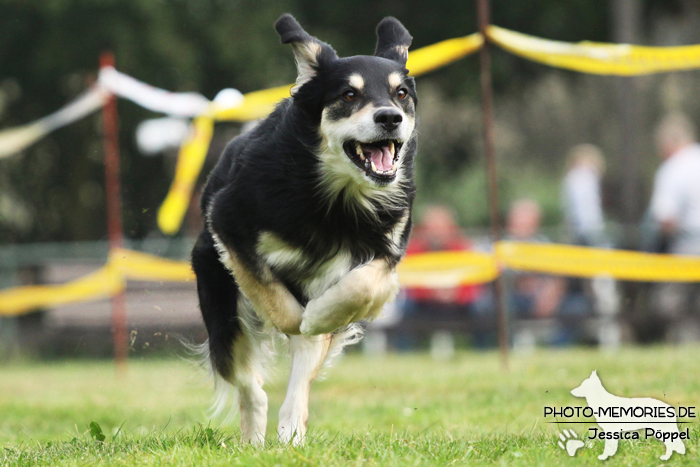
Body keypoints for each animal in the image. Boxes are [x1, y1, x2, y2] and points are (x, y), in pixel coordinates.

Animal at [190, 13, 416, 446]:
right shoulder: (227, 223)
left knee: (299, 372)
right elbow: (270, 292)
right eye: (348, 94)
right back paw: (255, 437)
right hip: (221, 306)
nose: (389, 118)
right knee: (249, 385)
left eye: (400, 94)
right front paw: (299, 318)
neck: (336, 198)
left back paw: (291, 427)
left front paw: (318, 316)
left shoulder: (387, 248)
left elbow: (362, 287)